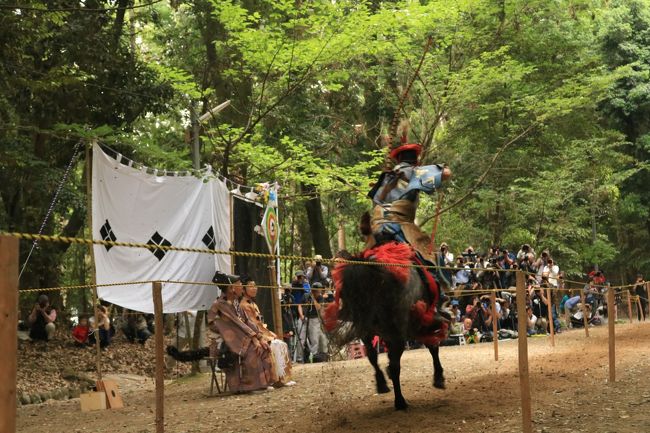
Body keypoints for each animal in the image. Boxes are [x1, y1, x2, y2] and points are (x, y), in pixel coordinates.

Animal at [322, 241, 446, 410]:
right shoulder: (419, 324)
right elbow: (433, 346)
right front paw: (439, 377)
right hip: (398, 333)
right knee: (394, 366)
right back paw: (400, 401)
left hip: (370, 330)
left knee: (372, 355)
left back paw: (382, 384)